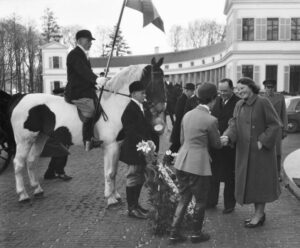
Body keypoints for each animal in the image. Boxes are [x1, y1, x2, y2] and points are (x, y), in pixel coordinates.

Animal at [9, 57, 166, 204]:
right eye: (157, 80)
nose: (161, 107)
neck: (114, 103)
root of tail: (20, 97)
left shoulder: (117, 145)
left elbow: (113, 172)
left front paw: (114, 195)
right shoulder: (111, 145)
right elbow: (110, 173)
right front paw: (110, 199)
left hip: (40, 137)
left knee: (31, 161)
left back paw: (37, 189)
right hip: (24, 141)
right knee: (18, 164)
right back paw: (23, 195)